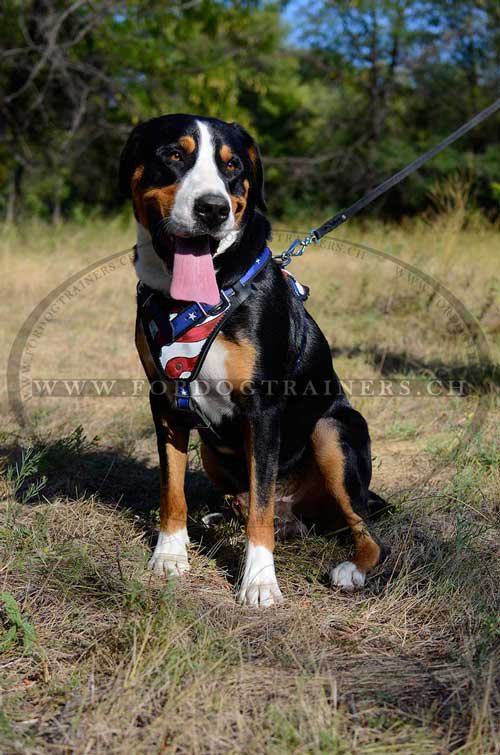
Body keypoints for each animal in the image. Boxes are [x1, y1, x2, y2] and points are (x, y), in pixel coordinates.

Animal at [121, 113, 386, 608]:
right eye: (174, 154)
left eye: (232, 166)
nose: (213, 209)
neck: (195, 299)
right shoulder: (165, 400)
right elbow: (172, 489)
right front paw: (170, 554)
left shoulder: (262, 408)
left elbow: (259, 511)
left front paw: (260, 581)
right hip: (211, 450)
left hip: (332, 429)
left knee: (361, 530)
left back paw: (351, 569)